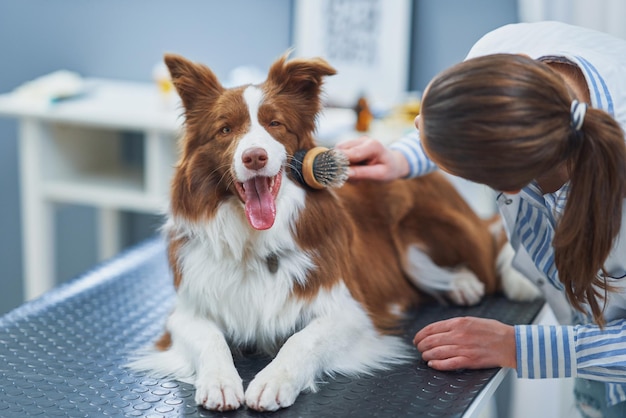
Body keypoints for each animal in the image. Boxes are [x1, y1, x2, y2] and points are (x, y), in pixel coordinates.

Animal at [130, 52, 536, 412]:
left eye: (275, 124)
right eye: (225, 129)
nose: (255, 157)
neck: (254, 242)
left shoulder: (350, 311)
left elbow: (301, 340)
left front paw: (272, 380)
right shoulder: (186, 313)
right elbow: (211, 339)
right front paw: (219, 381)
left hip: (418, 228)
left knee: (486, 251)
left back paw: (466, 282)